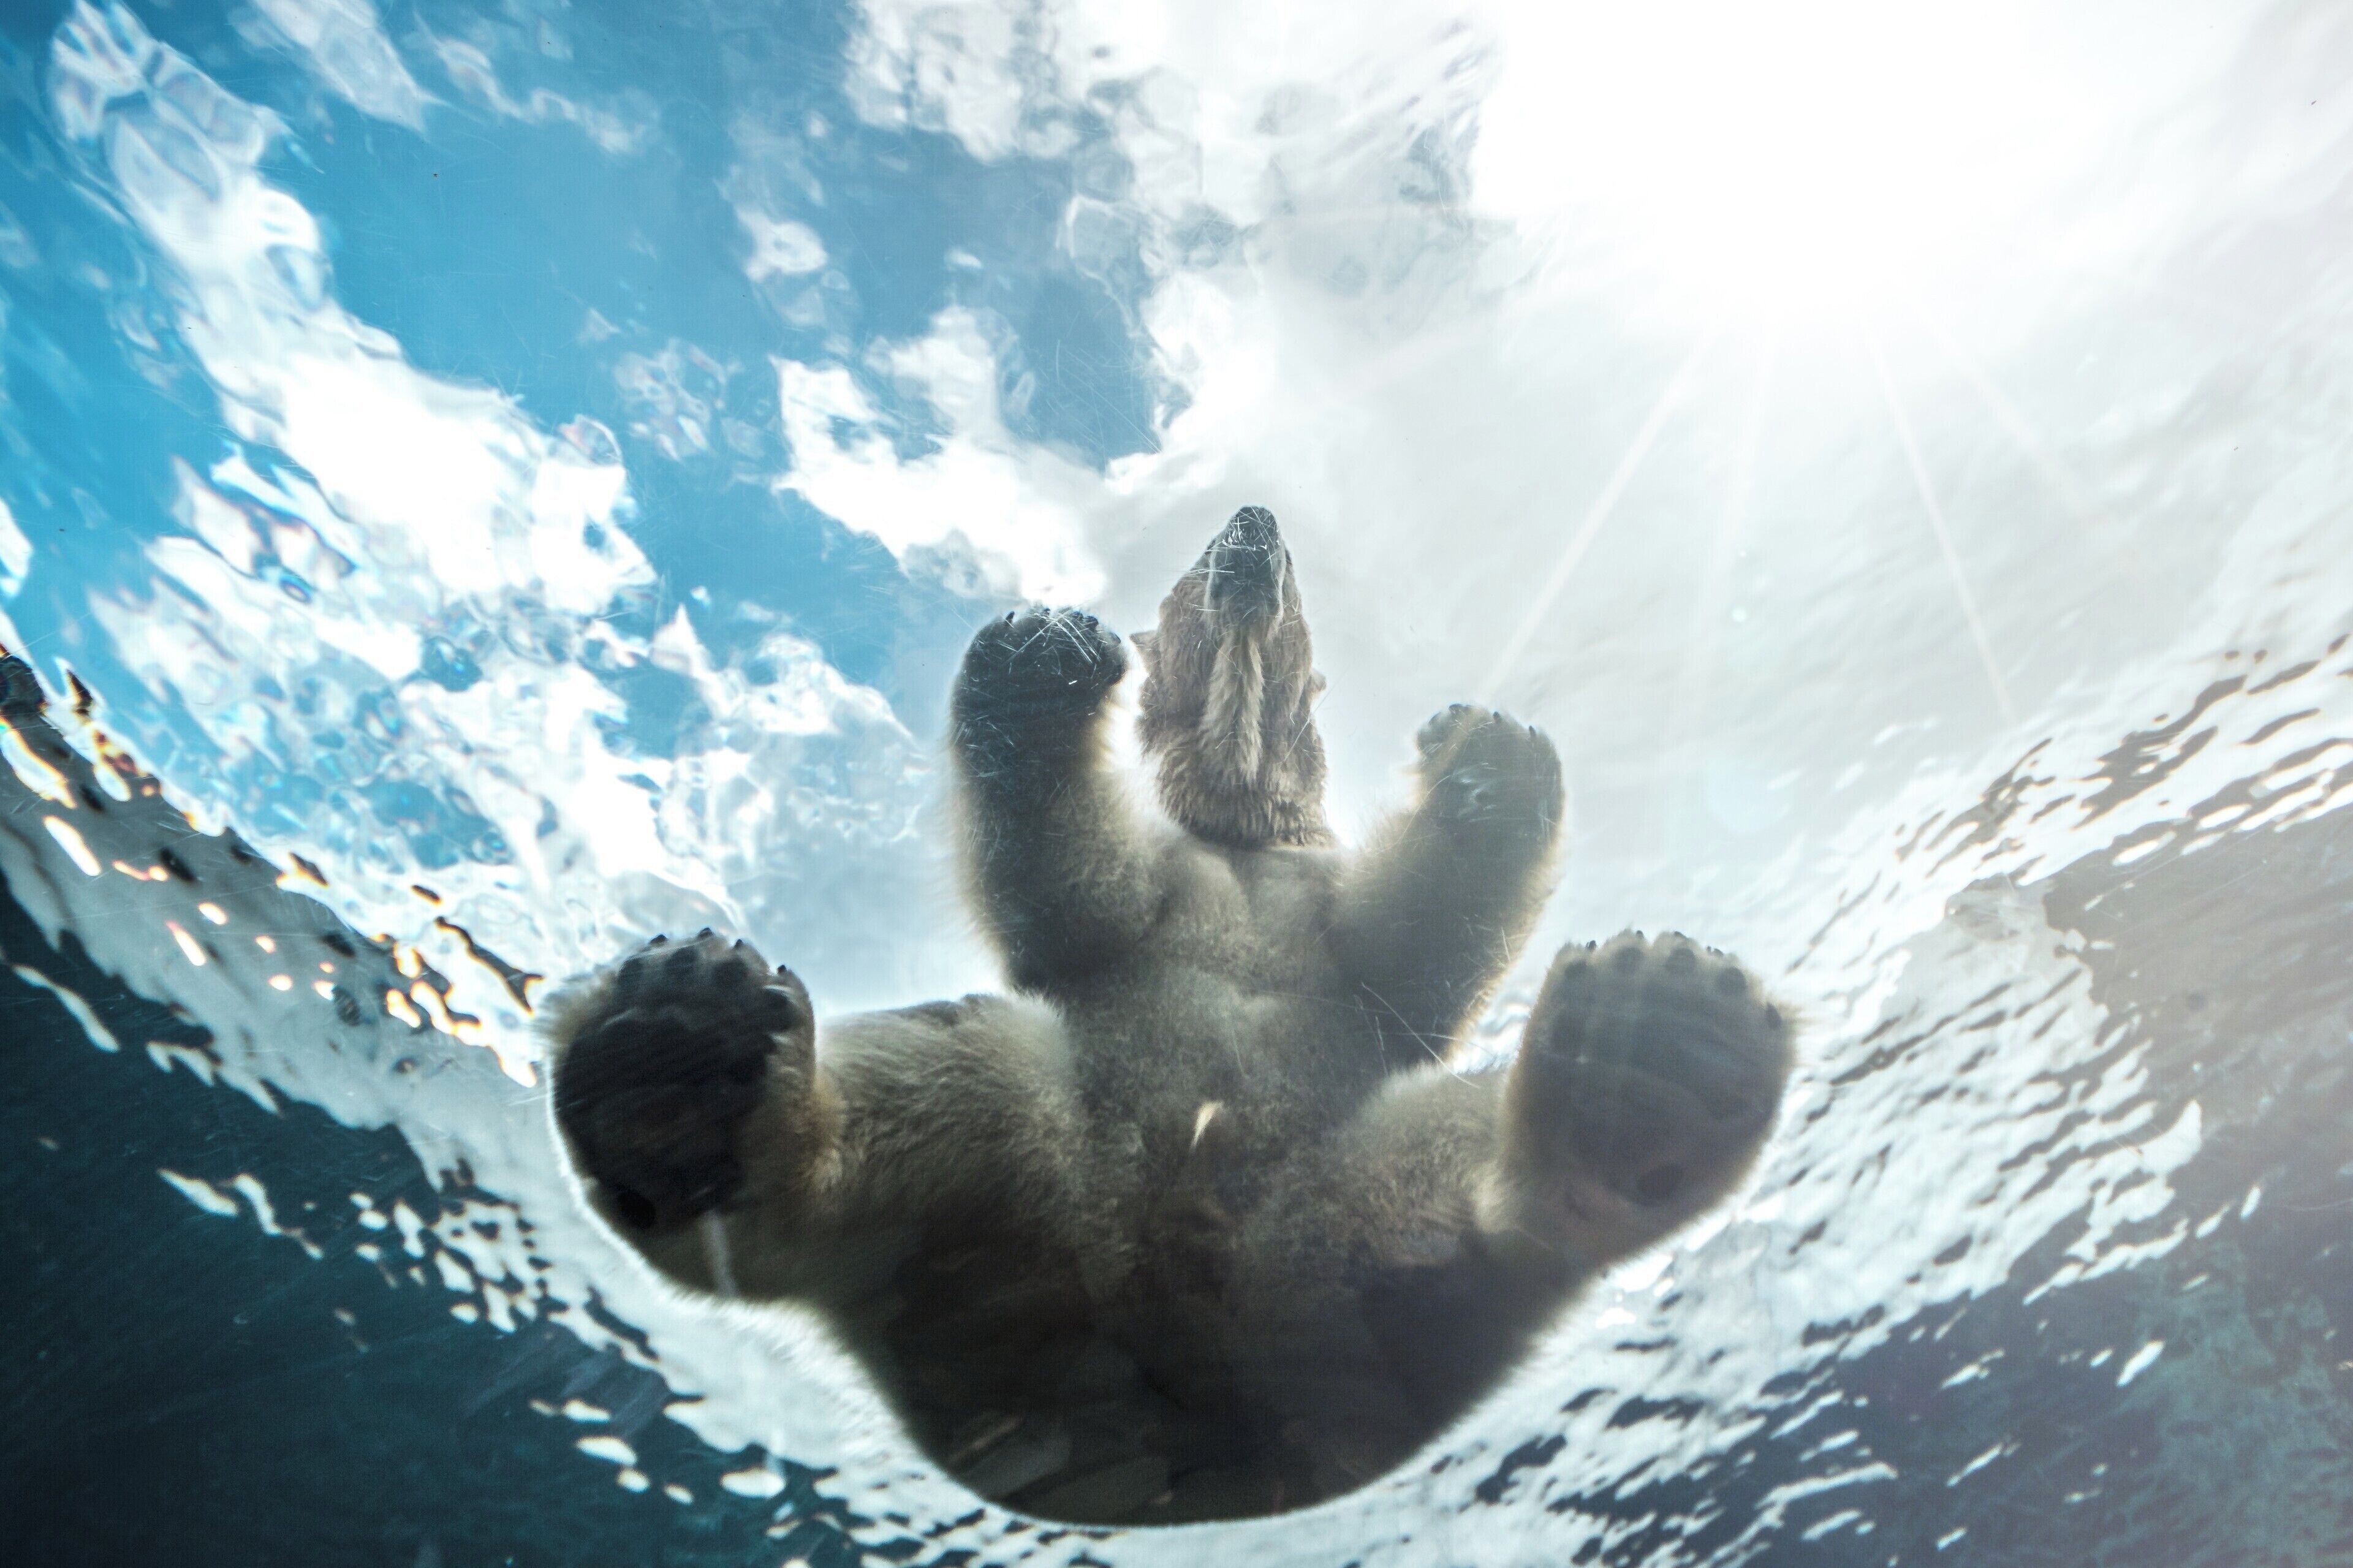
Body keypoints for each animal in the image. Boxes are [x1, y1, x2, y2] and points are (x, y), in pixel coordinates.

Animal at [548, 506, 1791, 1524]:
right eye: (1193, 569)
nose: (1254, 518)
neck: (1237, 826)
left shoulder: (1319, 908)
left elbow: (1417, 958)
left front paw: (1491, 747)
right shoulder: (1153, 892)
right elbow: (1069, 892)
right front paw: (1039, 656)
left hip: (1366, 1221)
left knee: (1482, 1172)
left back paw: (1659, 1049)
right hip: (1016, 1179)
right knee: (936, 1076)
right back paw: (677, 1066)